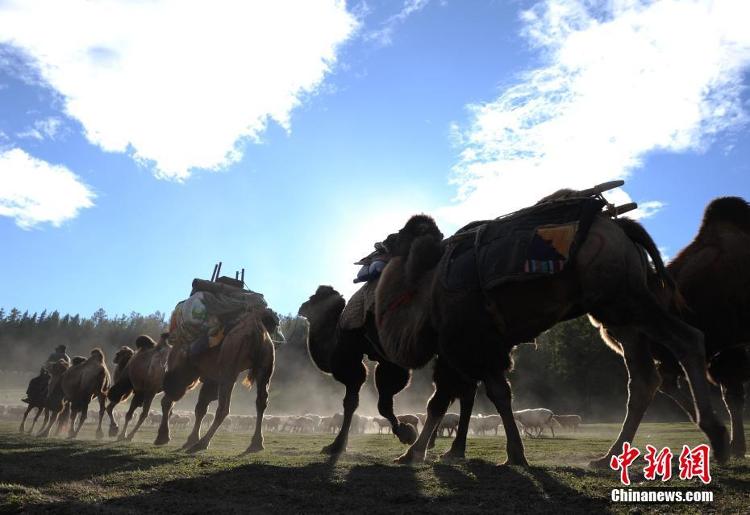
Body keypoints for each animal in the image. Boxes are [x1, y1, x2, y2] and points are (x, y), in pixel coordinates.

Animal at [153, 306, 280, 456]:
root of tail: (257, 330)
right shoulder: (210, 379)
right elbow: (201, 407)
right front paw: (190, 439)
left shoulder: (191, 375)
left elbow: (172, 402)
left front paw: (164, 437)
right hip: (265, 367)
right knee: (261, 401)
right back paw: (256, 443)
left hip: (229, 370)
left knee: (223, 408)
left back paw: (202, 443)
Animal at [298, 286, 476, 460]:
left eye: (313, 298)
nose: (301, 308)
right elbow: (352, 402)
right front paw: (336, 445)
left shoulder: (375, 361)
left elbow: (377, 404)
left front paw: (405, 432)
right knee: (463, 392)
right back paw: (452, 448)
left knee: (447, 396)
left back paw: (422, 450)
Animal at [374, 204, 728, 470]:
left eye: (400, 235)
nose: (381, 244)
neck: (426, 285)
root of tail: (623, 228)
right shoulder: (481, 347)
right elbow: (490, 395)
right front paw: (514, 455)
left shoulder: (466, 342)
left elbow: (447, 400)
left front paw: (412, 453)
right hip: (619, 315)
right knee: (643, 378)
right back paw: (609, 457)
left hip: (625, 299)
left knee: (687, 339)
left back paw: (718, 435)